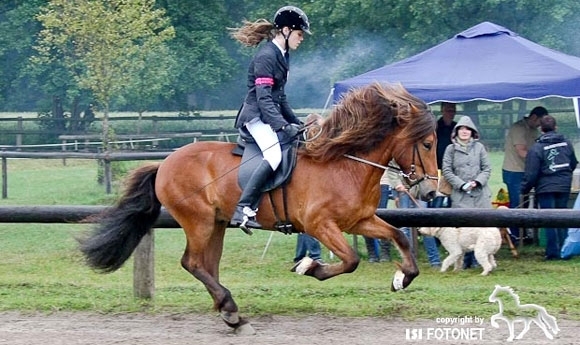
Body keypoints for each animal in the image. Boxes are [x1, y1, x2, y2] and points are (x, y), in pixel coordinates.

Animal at [79, 82, 438, 332]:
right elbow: (350, 260)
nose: (431, 191)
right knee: (192, 262)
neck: (345, 164)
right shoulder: (319, 225)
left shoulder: (359, 221)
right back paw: (231, 311)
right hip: (198, 221)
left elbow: (399, 237)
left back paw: (229, 313)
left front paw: (402, 279)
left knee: (208, 265)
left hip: (216, 224)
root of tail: (165, 162)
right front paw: (308, 267)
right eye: (427, 143)